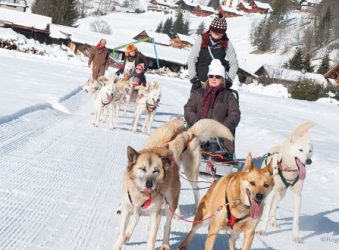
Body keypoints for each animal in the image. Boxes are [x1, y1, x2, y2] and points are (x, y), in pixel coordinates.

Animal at [113, 118, 235, 249]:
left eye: (156, 171)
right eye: (142, 169)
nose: (149, 184)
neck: (141, 195)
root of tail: (188, 132)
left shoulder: (155, 214)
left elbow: (151, 239)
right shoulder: (128, 208)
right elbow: (122, 231)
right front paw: (120, 242)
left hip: (188, 176)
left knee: (190, 196)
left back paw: (167, 241)